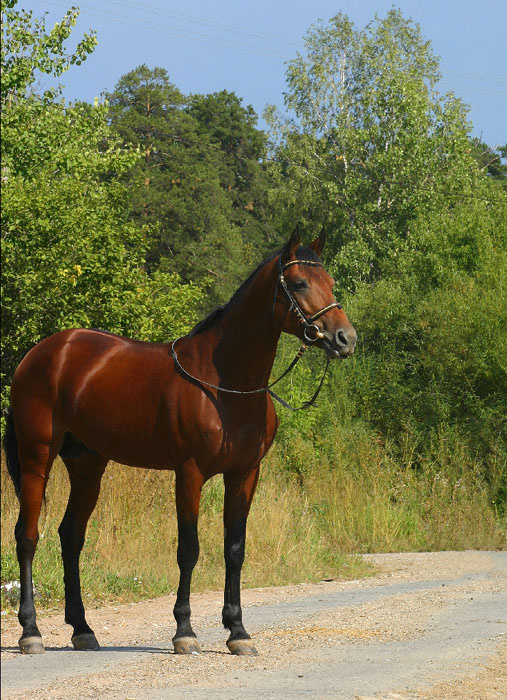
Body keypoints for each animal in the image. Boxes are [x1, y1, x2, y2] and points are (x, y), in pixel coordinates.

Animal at [3, 227, 356, 656]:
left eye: (331, 282)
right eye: (301, 283)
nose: (345, 338)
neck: (225, 385)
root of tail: (40, 355)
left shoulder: (244, 474)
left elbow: (234, 549)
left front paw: (238, 632)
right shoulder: (190, 473)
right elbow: (189, 549)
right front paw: (185, 632)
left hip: (87, 465)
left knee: (71, 536)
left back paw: (83, 630)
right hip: (37, 457)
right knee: (27, 536)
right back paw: (31, 632)